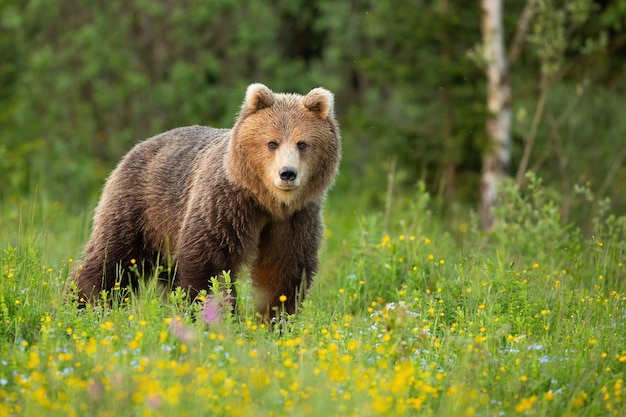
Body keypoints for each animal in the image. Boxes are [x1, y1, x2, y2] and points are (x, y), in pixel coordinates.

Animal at [73, 83, 342, 314]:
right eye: (272, 143)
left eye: (302, 143)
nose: (287, 173)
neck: (267, 202)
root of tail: (139, 146)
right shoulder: (225, 205)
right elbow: (210, 264)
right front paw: (216, 315)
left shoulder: (294, 219)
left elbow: (283, 270)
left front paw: (274, 319)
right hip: (139, 207)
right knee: (113, 258)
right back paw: (85, 304)